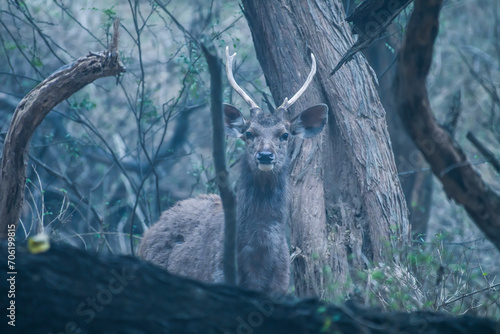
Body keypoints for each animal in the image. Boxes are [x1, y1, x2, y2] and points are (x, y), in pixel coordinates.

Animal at [141, 47, 328, 294]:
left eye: (285, 134)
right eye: (249, 133)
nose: (265, 155)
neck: (258, 260)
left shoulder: (280, 286)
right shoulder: (216, 278)